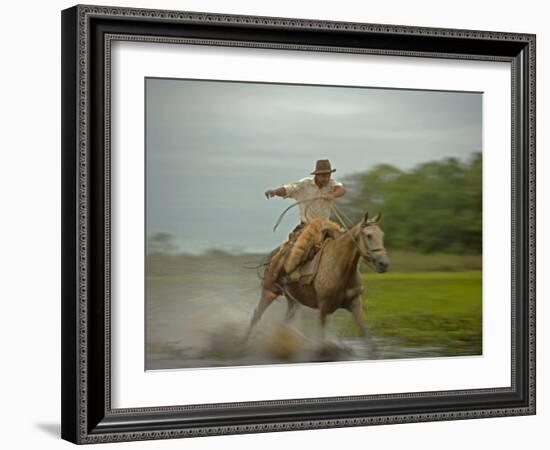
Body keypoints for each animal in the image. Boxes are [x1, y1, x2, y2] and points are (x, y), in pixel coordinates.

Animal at [248, 213, 390, 340]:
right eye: (368, 235)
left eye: (382, 235)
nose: (384, 264)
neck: (341, 269)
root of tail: (273, 255)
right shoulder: (323, 308)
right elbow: (321, 338)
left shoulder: (355, 304)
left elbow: (366, 336)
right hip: (269, 292)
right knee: (256, 317)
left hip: (293, 302)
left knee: (282, 323)